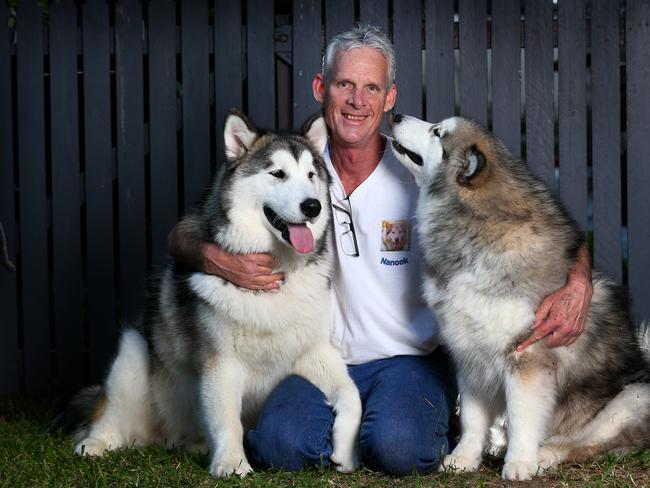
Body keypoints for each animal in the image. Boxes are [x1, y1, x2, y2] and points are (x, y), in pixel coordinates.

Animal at [69, 109, 362, 476]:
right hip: (132, 354)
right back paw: (96, 443)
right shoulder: (220, 364)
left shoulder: (314, 351)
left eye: (311, 174)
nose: (312, 207)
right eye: (277, 174)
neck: (277, 274)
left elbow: (353, 395)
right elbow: (227, 420)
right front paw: (232, 463)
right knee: (108, 414)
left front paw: (346, 450)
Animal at [388, 113, 644, 480]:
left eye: (437, 132)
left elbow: (523, 415)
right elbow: (472, 417)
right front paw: (465, 457)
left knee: (584, 445)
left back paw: (544, 454)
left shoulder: (526, 355)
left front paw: (520, 462)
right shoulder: (470, 352)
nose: (395, 115)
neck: (474, 232)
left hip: (633, 398)